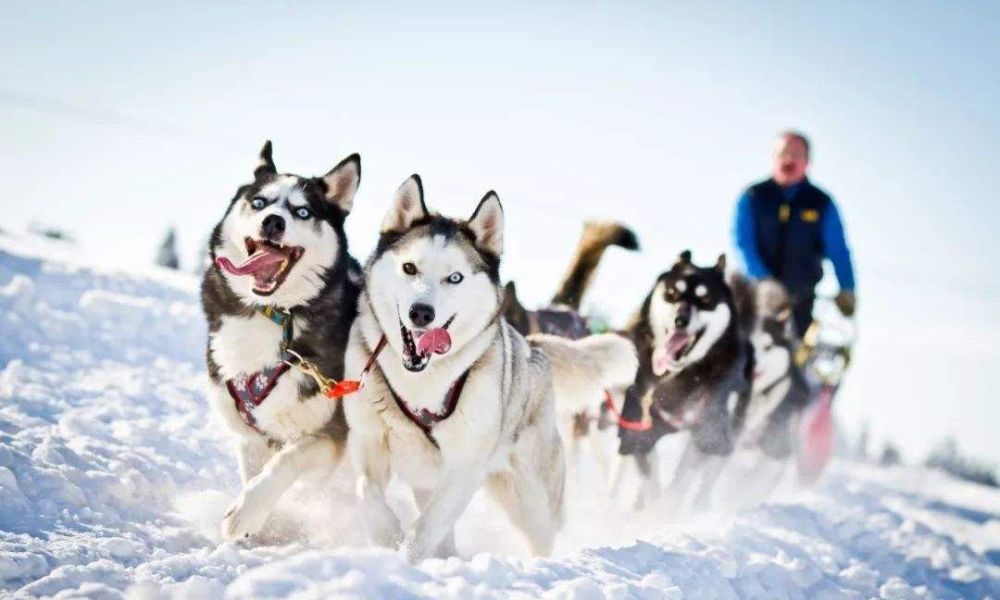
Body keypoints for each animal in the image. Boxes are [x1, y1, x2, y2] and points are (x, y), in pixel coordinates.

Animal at [201, 142, 362, 540]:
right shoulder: (249, 433)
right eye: (259, 202)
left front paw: (248, 513)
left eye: (303, 211)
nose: (273, 222)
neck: (273, 313)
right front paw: (262, 530)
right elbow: (254, 472)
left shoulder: (328, 435)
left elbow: (283, 465)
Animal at [348, 176, 636, 560]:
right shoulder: (368, 441)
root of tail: (532, 346)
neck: (422, 382)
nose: (421, 312)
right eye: (409, 268)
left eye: (455, 278)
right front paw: (386, 536)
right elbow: (367, 492)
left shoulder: (463, 468)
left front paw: (404, 557)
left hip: (531, 498)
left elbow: (425, 527)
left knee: (541, 535)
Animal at [612, 251, 752, 508]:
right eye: (672, 293)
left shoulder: (708, 433)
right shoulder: (638, 430)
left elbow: (679, 485)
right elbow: (650, 481)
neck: (682, 377)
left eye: (704, 299)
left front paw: (666, 509)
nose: (680, 320)